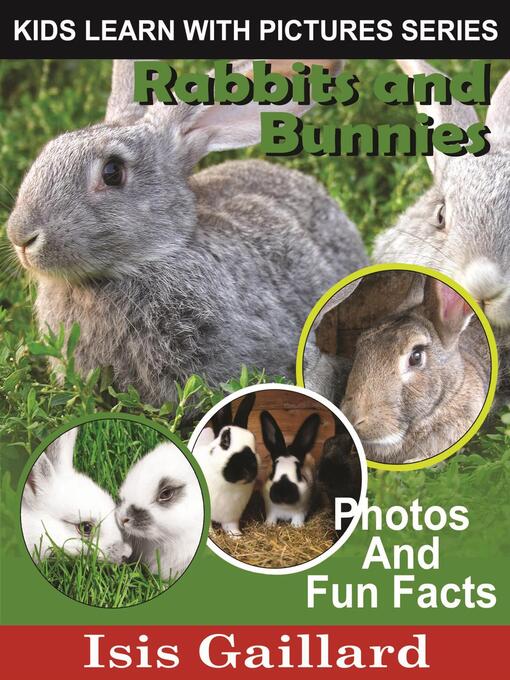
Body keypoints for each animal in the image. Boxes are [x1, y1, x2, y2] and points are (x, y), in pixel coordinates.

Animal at [193, 393, 258, 536]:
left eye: (254, 441)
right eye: (225, 441)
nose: (248, 471)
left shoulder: (232, 515)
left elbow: (231, 527)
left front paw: (237, 536)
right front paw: (212, 535)